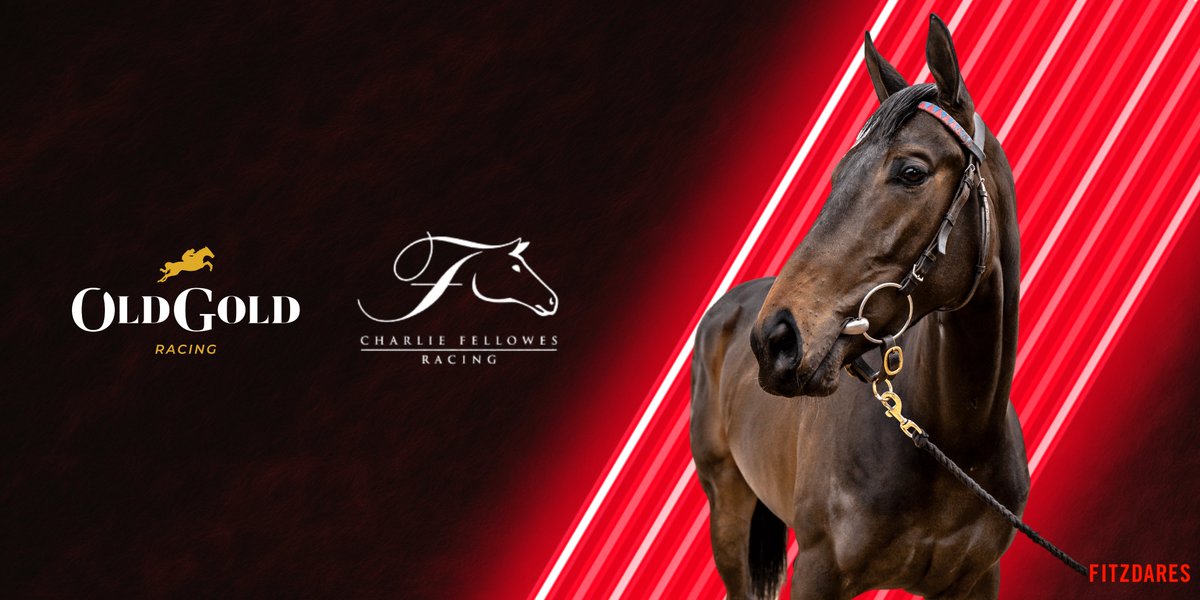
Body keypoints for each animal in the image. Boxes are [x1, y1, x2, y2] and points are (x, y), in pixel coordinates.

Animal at [691, 15, 1027, 599]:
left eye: (911, 172)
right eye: (836, 176)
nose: (775, 341)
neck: (955, 441)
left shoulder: (978, 578)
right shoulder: (818, 571)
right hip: (727, 510)